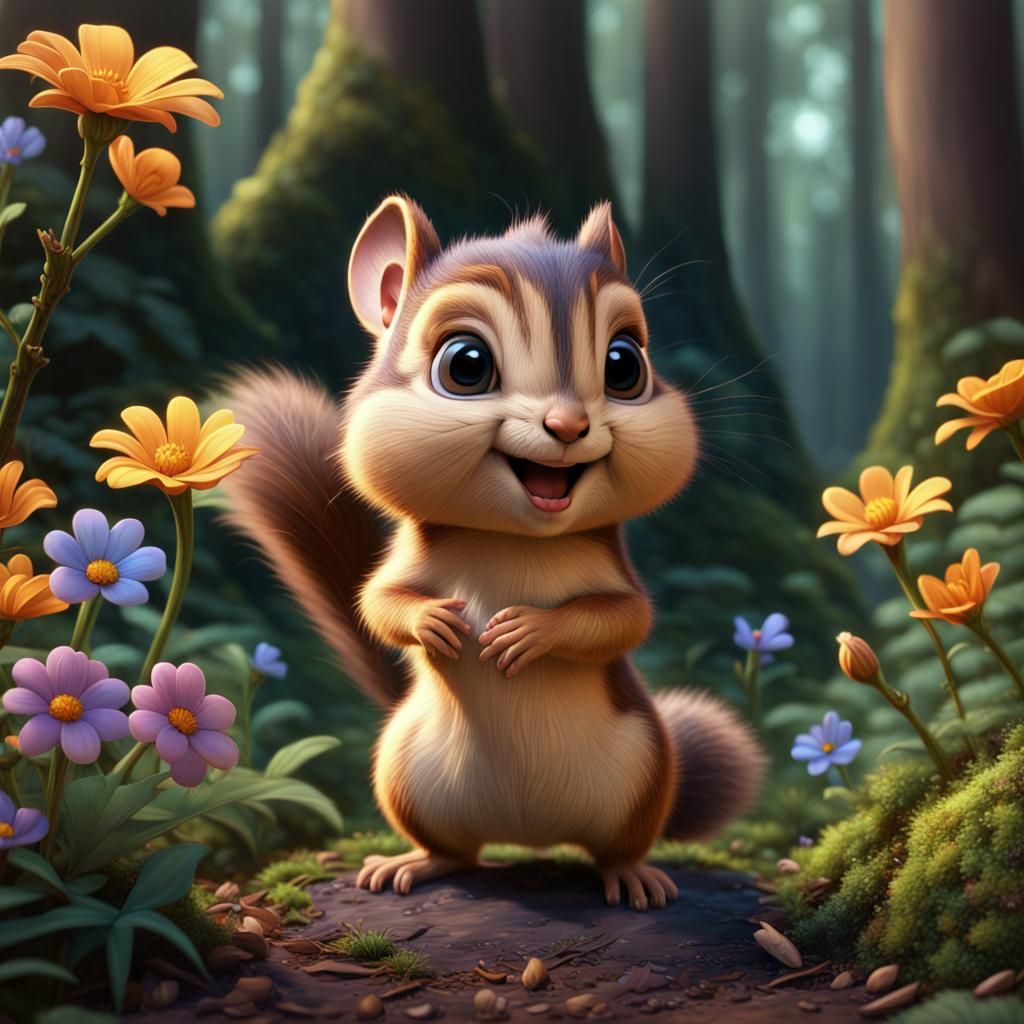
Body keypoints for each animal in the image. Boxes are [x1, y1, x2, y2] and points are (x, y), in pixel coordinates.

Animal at [224, 196, 765, 911]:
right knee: (458, 853)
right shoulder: (406, 561)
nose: (568, 426)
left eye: (625, 365)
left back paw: (633, 876)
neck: (514, 540)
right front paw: (437, 621)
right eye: (466, 364)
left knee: (617, 847)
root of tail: (529, 834)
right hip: (403, 773)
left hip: (645, 769)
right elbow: (379, 601)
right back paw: (412, 864)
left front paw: (529, 631)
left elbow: (622, 619)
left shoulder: (618, 575)